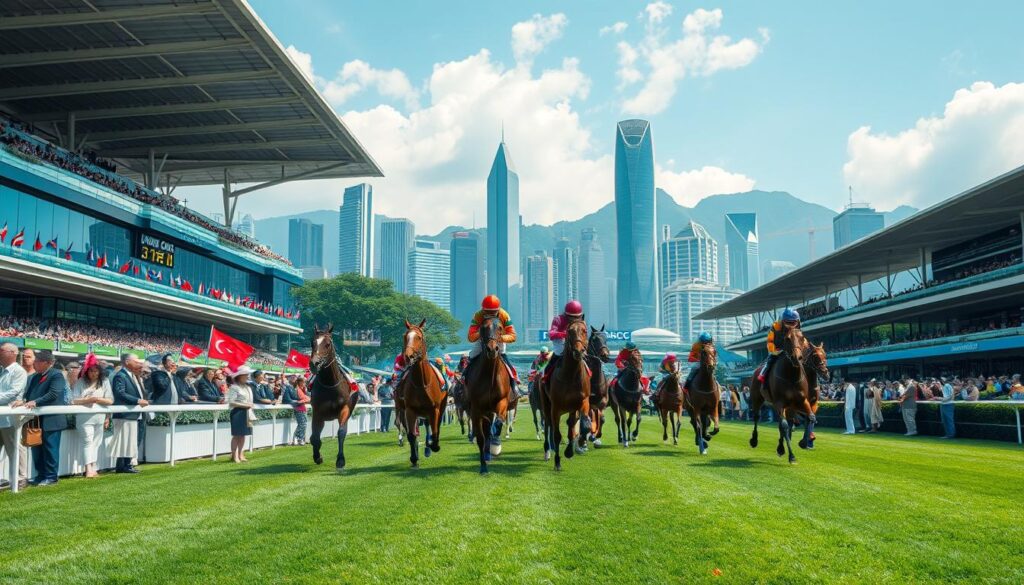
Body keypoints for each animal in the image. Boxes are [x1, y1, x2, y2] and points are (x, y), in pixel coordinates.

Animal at [307, 325, 360, 471]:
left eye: (327, 344)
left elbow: (341, 432)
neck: (330, 384)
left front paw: (340, 460)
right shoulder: (317, 412)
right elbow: (314, 438)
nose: (314, 363)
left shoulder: (345, 408)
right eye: (312, 342)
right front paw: (318, 457)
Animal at [395, 317, 448, 469]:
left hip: (440, 407)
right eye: (405, 336)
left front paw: (433, 446)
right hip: (402, 409)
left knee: (433, 426)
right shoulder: (410, 410)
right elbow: (412, 435)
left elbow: (435, 430)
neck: (421, 383)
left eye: (418, 337)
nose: (408, 356)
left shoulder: (434, 409)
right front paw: (414, 458)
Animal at [464, 315, 512, 475]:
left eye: (500, 328)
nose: (492, 349)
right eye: (483, 328)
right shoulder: (476, 409)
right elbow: (480, 437)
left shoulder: (502, 401)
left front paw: (496, 439)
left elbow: (499, 423)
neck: (490, 374)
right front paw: (483, 467)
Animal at [540, 317, 589, 469]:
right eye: (570, 331)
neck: (570, 375)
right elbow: (557, 435)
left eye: (585, 331)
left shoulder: (580, 402)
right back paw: (547, 451)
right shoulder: (555, 407)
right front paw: (557, 461)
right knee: (548, 424)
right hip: (546, 405)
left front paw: (571, 450)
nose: (578, 352)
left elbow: (579, 426)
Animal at [745, 327, 815, 465]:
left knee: (788, 422)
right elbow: (784, 425)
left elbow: (810, 417)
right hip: (757, 399)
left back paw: (781, 448)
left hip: (790, 407)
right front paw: (792, 456)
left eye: (802, 337)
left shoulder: (801, 401)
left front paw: (803, 443)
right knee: (757, 417)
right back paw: (754, 440)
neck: (791, 376)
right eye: (787, 339)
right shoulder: (779, 403)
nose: (797, 357)